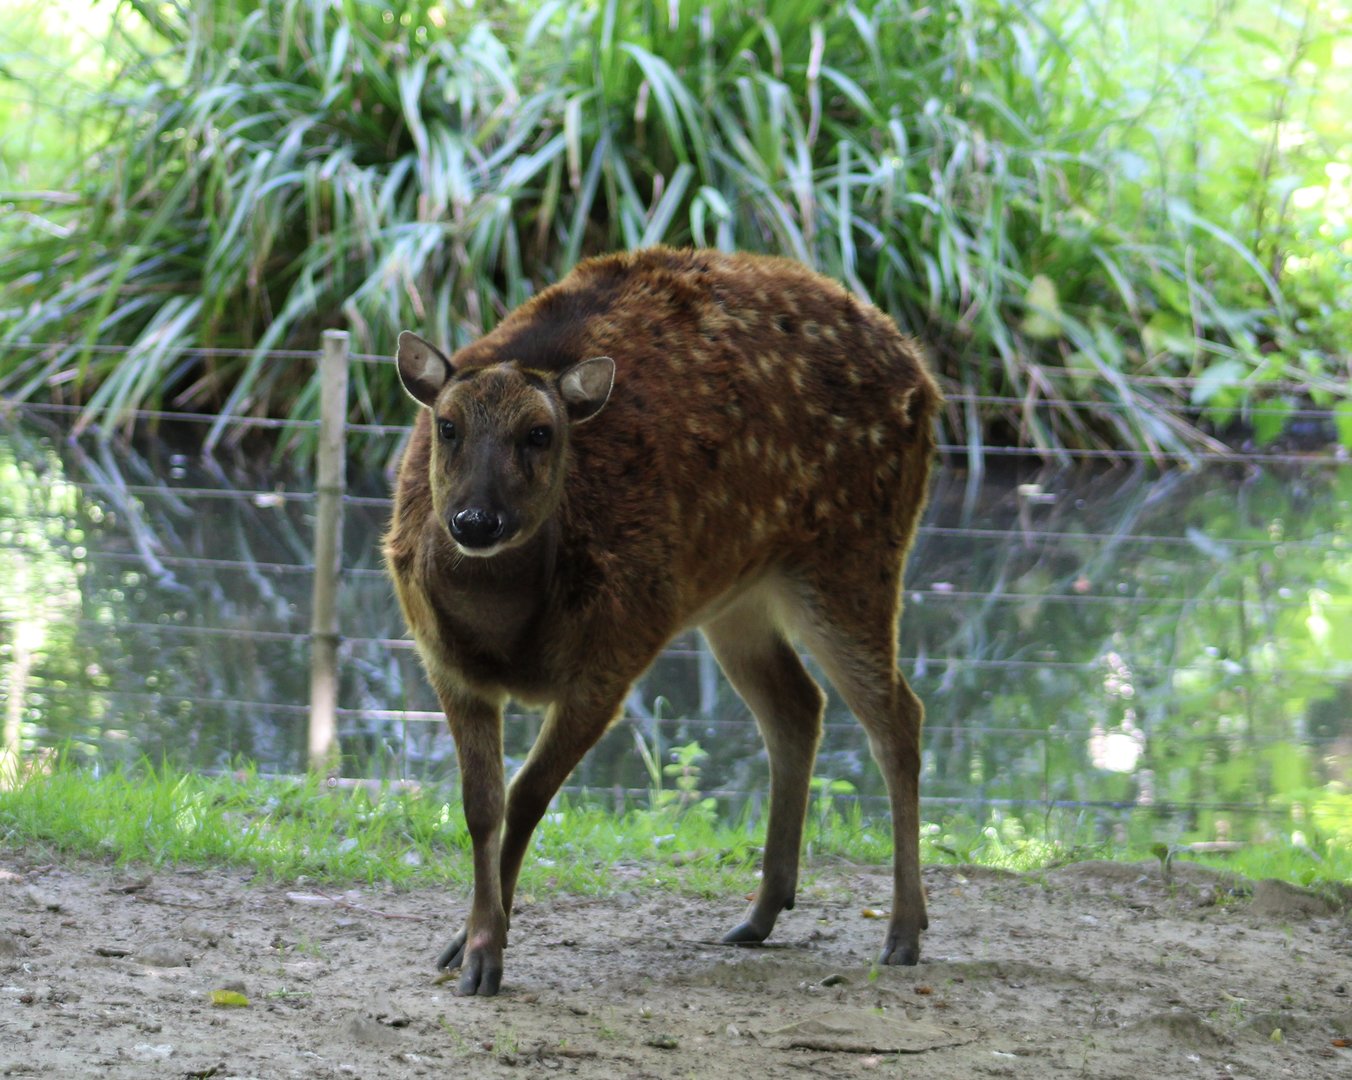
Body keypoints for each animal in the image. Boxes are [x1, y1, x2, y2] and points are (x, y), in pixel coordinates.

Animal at [383, 247, 940, 996]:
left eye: (540, 434)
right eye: (447, 427)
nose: (475, 521)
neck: (508, 637)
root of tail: (925, 377)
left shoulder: (615, 655)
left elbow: (527, 797)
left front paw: (485, 956)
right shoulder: (446, 664)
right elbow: (480, 806)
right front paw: (463, 944)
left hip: (855, 557)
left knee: (897, 716)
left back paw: (904, 931)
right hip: (737, 598)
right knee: (797, 706)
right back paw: (760, 913)